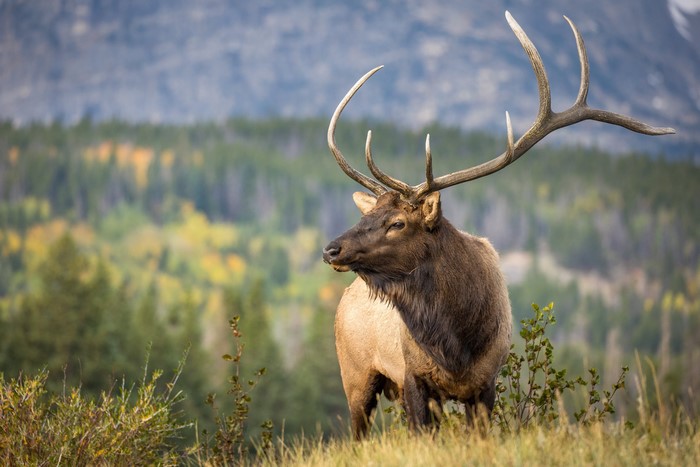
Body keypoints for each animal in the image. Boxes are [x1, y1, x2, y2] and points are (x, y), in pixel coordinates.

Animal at [322, 11, 675, 440]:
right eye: (366, 216)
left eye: (398, 223)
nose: (331, 248)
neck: (456, 341)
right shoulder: (413, 377)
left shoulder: (485, 382)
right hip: (355, 376)